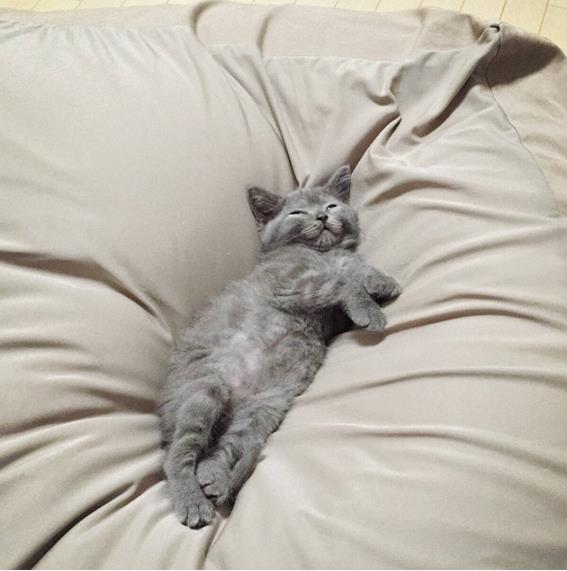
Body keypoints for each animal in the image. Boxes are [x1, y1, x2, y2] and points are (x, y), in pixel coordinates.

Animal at [159, 165, 401, 529]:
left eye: (331, 205)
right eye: (297, 213)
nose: (321, 216)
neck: (322, 253)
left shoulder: (332, 302)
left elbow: (353, 269)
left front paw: (379, 281)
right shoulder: (289, 283)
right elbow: (339, 282)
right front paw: (369, 308)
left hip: (263, 408)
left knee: (226, 446)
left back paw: (215, 477)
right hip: (205, 387)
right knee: (179, 453)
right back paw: (192, 501)